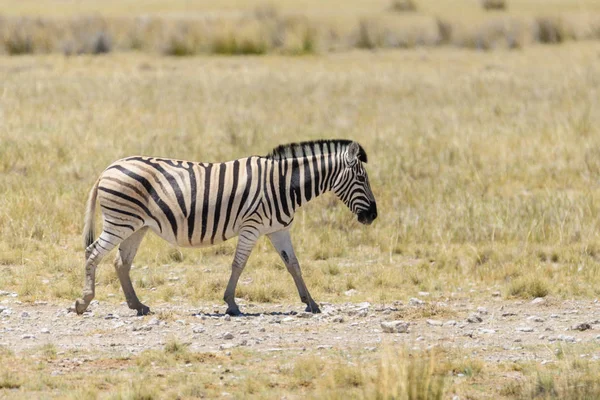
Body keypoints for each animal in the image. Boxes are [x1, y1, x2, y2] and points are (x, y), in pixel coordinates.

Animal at [74, 139, 376, 318]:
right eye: (362, 179)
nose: (373, 215)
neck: (283, 185)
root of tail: (109, 168)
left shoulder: (278, 229)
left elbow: (294, 265)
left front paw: (311, 303)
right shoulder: (252, 226)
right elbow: (238, 265)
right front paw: (231, 303)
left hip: (136, 226)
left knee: (121, 262)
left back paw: (138, 306)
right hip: (121, 221)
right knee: (93, 253)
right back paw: (84, 302)